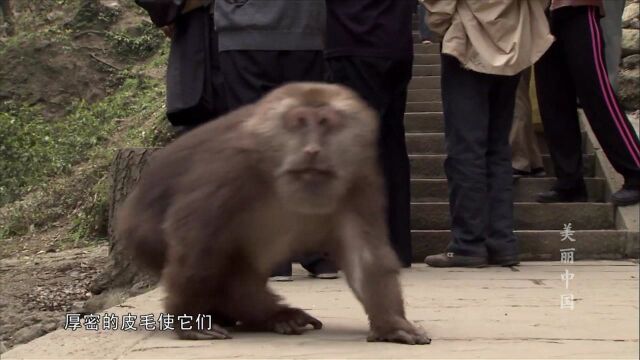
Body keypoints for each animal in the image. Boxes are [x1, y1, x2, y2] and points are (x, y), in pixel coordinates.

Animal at [117, 83, 432, 344]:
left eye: (325, 123)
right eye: (299, 122)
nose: (312, 149)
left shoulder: (358, 177)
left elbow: (364, 253)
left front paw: (392, 324)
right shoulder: (227, 165)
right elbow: (197, 239)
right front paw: (190, 319)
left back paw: (270, 315)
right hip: (142, 232)